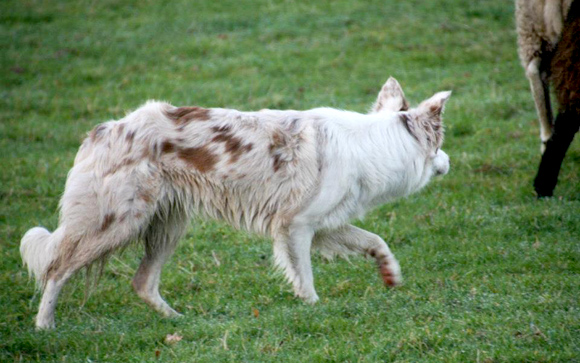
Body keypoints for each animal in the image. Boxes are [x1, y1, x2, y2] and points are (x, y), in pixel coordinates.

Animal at [20, 78, 450, 332]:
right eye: (440, 145)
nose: (449, 162)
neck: (376, 143)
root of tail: (105, 128)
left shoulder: (324, 224)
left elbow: (375, 240)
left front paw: (390, 273)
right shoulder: (295, 225)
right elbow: (306, 280)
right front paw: (312, 310)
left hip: (167, 226)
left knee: (142, 281)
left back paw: (181, 322)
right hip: (118, 221)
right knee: (56, 270)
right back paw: (44, 327)